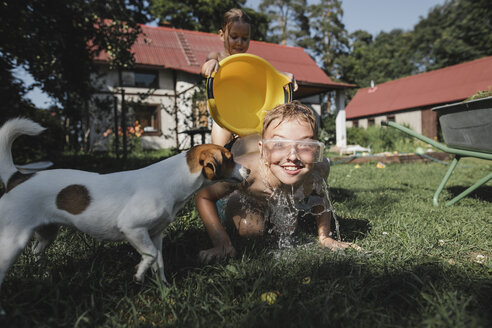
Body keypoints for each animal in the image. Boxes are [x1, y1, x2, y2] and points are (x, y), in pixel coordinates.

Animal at [0, 118, 248, 316]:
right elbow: (149, 255)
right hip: (14, 240)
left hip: (47, 232)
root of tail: (18, 177)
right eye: (229, 158)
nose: (249, 171)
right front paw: (139, 274)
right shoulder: (133, 228)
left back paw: (44, 275)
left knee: (36, 250)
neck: (172, 180)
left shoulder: (155, 234)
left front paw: (164, 288)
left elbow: (159, 261)